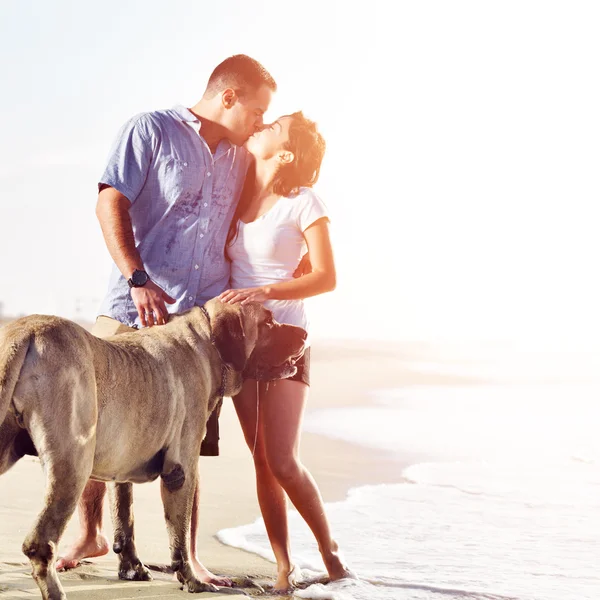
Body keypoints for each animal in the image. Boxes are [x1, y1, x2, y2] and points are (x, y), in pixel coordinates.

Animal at [0, 300, 308, 600]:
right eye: (267, 321)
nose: (305, 334)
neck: (208, 343)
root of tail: (24, 332)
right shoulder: (180, 470)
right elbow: (180, 535)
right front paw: (193, 580)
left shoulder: (121, 465)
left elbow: (125, 519)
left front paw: (132, 568)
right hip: (73, 465)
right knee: (40, 542)